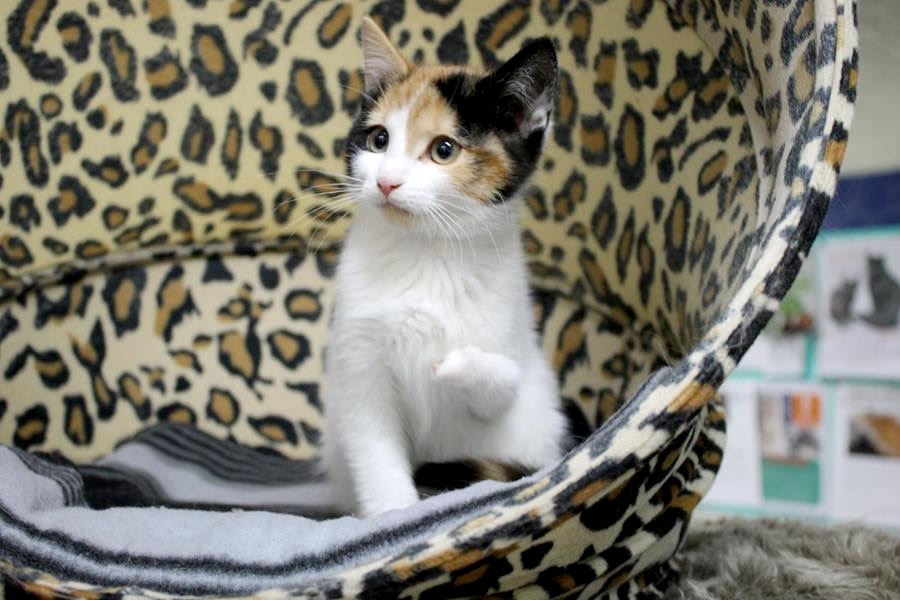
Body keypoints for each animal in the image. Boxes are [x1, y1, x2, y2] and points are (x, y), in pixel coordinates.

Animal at [320, 17, 568, 516]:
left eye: (444, 150)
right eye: (379, 140)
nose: (386, 182)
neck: (428, 252)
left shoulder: (512, 352)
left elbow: (505, 380)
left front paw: (450, 362)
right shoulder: (356, 368)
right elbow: (375, 453)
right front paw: (393, 516)